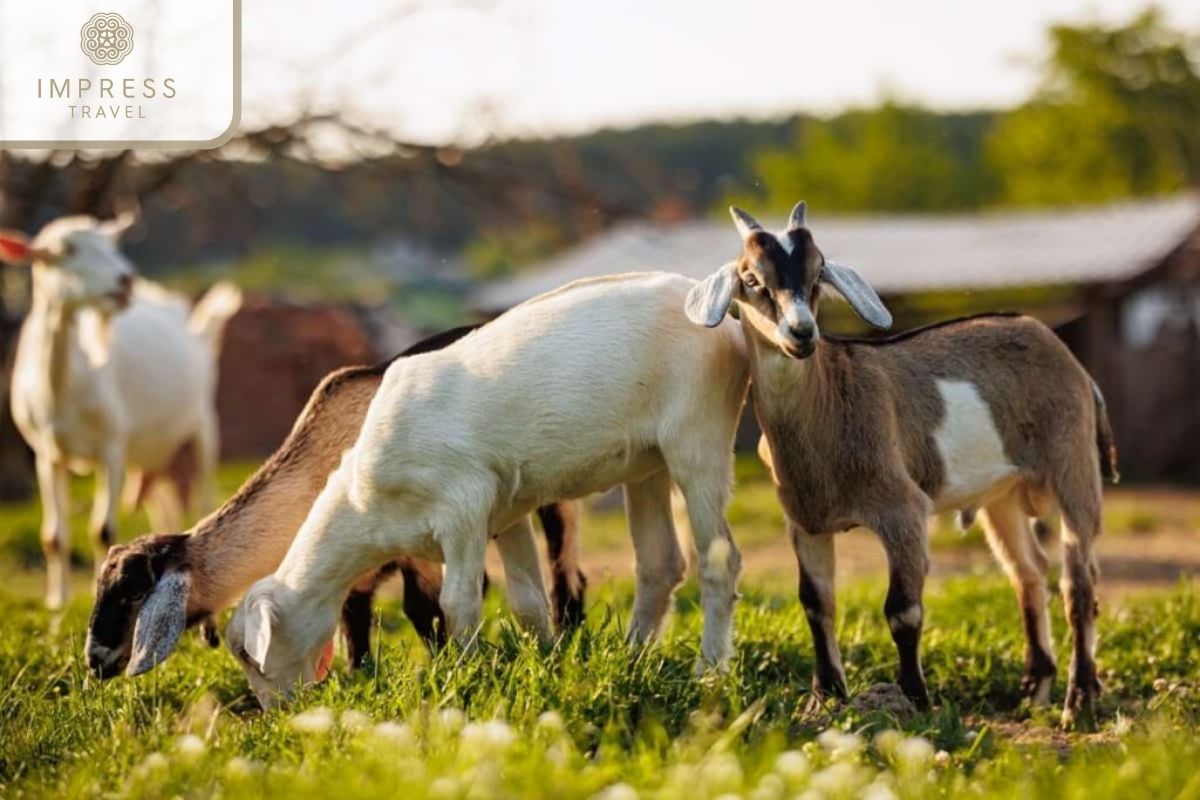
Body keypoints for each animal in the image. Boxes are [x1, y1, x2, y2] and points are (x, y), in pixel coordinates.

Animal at [0, 215, 241, 609]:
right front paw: (57, 602)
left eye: (112, 245)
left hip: (203, 420)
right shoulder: (46, 453)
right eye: (66, 250)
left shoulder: (112, 446)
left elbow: (103, 529)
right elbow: (53, 535)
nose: (125, 280)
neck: (64, 385)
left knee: (205, 491)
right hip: (153, 452)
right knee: (165, 506)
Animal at [84, 326, 580, 681]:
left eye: (132, 591)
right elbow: (350, 624)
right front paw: (359, 679)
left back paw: (573, 640)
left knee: (566, 570)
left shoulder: (420, 543)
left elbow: (424, 609)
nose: (94, 659)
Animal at [225, 273, 748, 705]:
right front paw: (547, 663)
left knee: (718, 561)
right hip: (647, 463)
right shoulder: (506, 513)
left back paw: (709, 670)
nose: (275, 712)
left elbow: (457, 602)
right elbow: (527, 603)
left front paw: (465, 674)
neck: (363, 505)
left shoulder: (464, 507)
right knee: (660, 563)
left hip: (697, 436)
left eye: (250, 656)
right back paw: (634, 657)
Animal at [691, 203, 1118, 729]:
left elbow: (903, 610)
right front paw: (825, 697)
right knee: (1028, 571)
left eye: (818, 272)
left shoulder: (903, 510)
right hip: (1003, 494)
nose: (802, 333)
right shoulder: (806, 521)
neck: (830, 399)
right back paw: (1034, 689)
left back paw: (1078, 700)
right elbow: (816, 603)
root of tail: (1067, 357)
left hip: (1073, 462)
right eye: (751, 279)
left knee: (1078, 581)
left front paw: (914, 700)